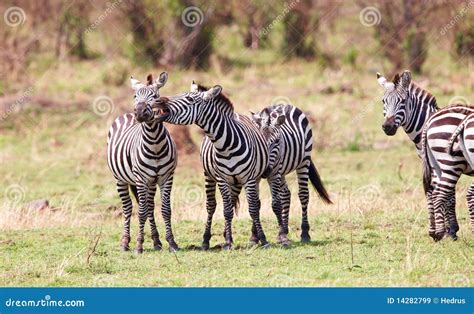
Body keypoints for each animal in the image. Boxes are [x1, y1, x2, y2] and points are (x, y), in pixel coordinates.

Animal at [106, 73, 179, 253]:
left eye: (155, 96)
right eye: (135, 96)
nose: (139, 112)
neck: (154, 143)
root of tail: (127, 115)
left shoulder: (167, 177)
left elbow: (165, 210)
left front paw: (171, 242)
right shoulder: (140, 179)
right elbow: (141, 212)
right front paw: (139, 245)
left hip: (151, 182)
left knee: (150, 206)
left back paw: (156, 241)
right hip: (121, 179)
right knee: (128, 208)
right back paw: (125, 242)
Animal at [156, 82, 270, 249]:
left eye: (189, 99)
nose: (158, 101)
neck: (226, 145)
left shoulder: (249, 178)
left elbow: (254, 208)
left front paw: (263, 239)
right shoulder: (222, 178)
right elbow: (227, 210)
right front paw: (228, 242)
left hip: (249, 179)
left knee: (248, 202)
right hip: (209, 175)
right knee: (212, 206)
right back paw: (206, 240)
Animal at [250, 103, 332, 243]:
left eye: (277, 141)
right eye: (258, 140)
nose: (266, 171)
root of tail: (284, 104)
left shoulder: (275, 172)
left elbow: (275, 203)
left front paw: (280, 235)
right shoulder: (255, 175)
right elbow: (256, 203)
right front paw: (254, 236)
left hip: (303, 161)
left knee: (303, 195)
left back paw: (304, 233)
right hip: (282, 171)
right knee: (286, 194)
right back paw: (284, 229)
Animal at [378, 69, 470, 240]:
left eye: (402, 101)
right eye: (383, 101)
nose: (387, 127)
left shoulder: (444, 164)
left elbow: (444, 194)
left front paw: (449, 231)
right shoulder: (437, 165)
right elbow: (438, 193)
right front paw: (446, 230)